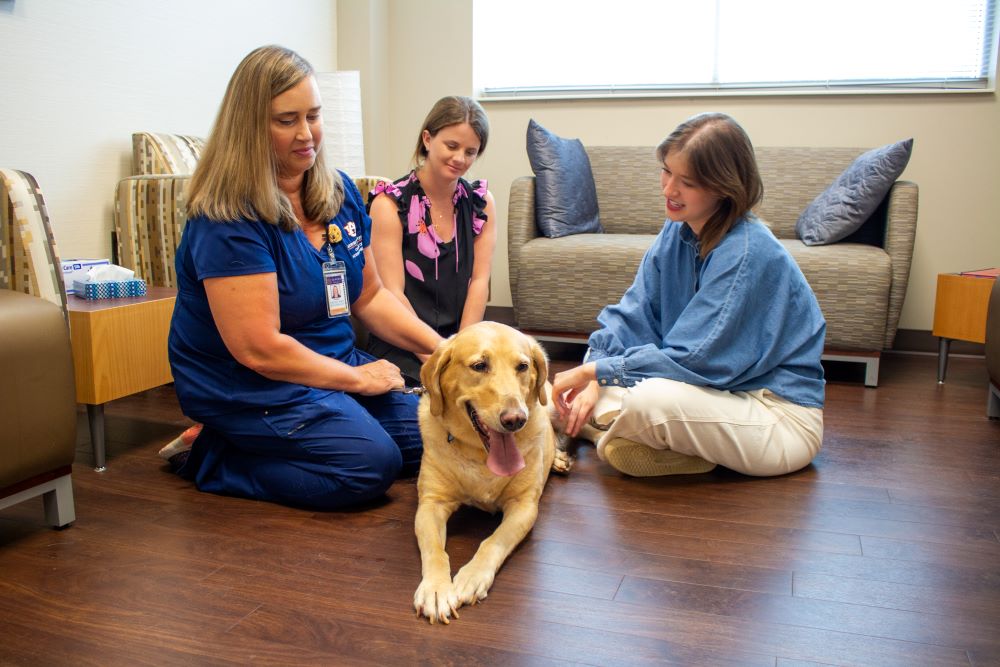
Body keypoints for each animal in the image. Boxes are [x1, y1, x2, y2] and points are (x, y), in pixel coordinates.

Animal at [414, 320, 572, 624]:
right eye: (479, 365)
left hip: (558, 408)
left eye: (522, 366)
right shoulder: (430, 504)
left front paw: (471, 577)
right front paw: (436, 589)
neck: (481, 455)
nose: (515, 419)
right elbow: (435, 550)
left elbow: (493, 542)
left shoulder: (523, 507)